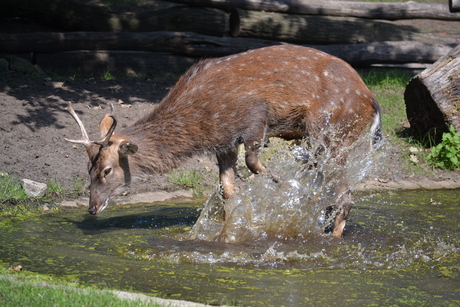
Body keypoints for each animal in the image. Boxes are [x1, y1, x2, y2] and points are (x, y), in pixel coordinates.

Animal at [64, 45, 380, 238]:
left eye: (107, 170)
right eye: (88, 170)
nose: (92, 207)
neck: (201, 123)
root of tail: (371, 99)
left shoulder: (253, 115)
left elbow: (252, 163)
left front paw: (278, 182)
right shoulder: (224, 143)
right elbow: (227, 190)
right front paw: (230, 231)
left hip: (331, 130)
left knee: (345, 195)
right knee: (332, 193)